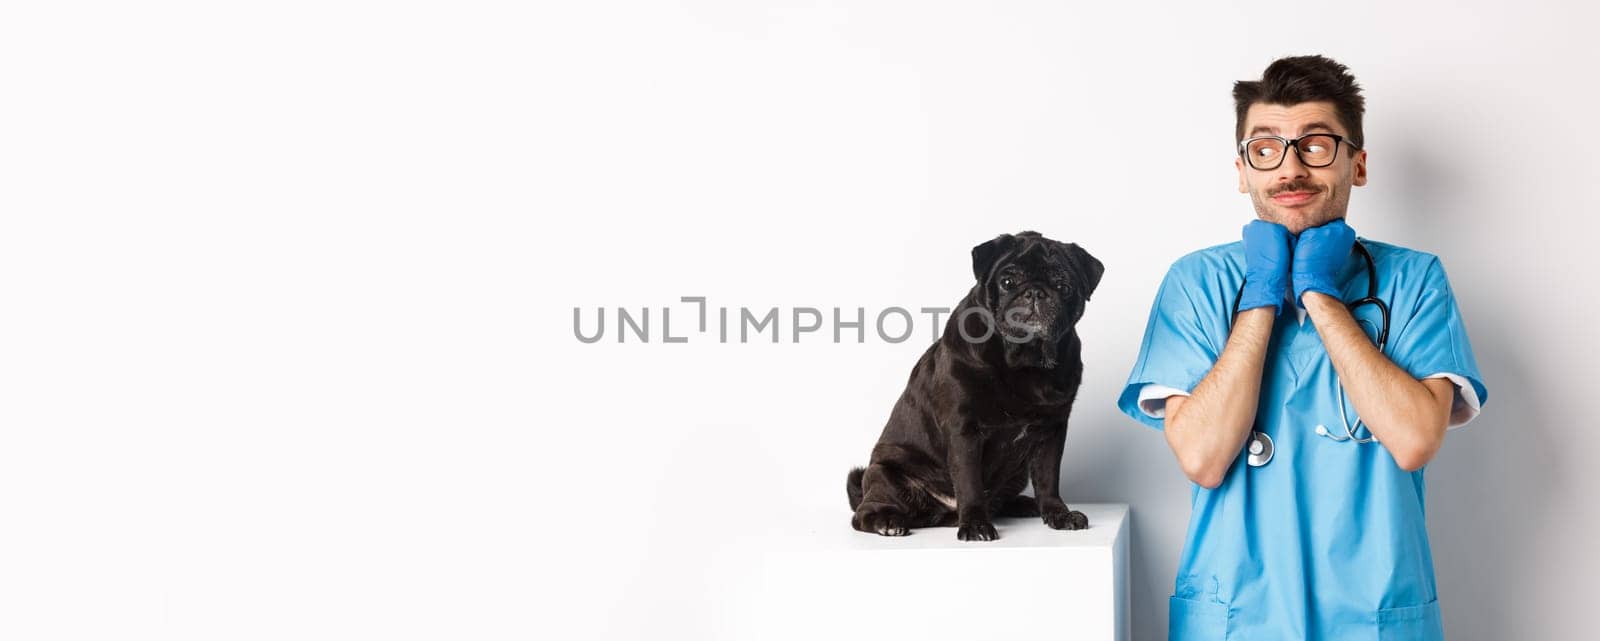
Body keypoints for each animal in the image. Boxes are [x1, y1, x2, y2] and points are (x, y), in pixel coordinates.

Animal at [851, 231, 1100, 540]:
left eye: (1063, 286)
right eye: (1008, 282)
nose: (1035, 292)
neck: (1024, 361)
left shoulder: (1051, 432)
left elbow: (1048, 479)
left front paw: (1058, 514)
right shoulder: (965, 430)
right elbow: (969, 482)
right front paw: (975, 524)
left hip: (1016, 474)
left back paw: (1024, 504)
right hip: (884, 475)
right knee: (864, 513)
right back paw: (888, 522)